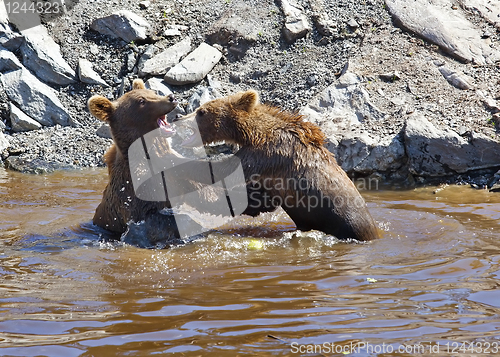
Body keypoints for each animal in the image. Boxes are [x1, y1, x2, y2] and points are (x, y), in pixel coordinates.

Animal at [175, 89, 378, 241]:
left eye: (201, 111)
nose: (177, 116)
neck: (253, 133)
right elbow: (253, 200)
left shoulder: (267, 154)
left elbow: (224, 170)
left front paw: (175, 159)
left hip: (345, 220)